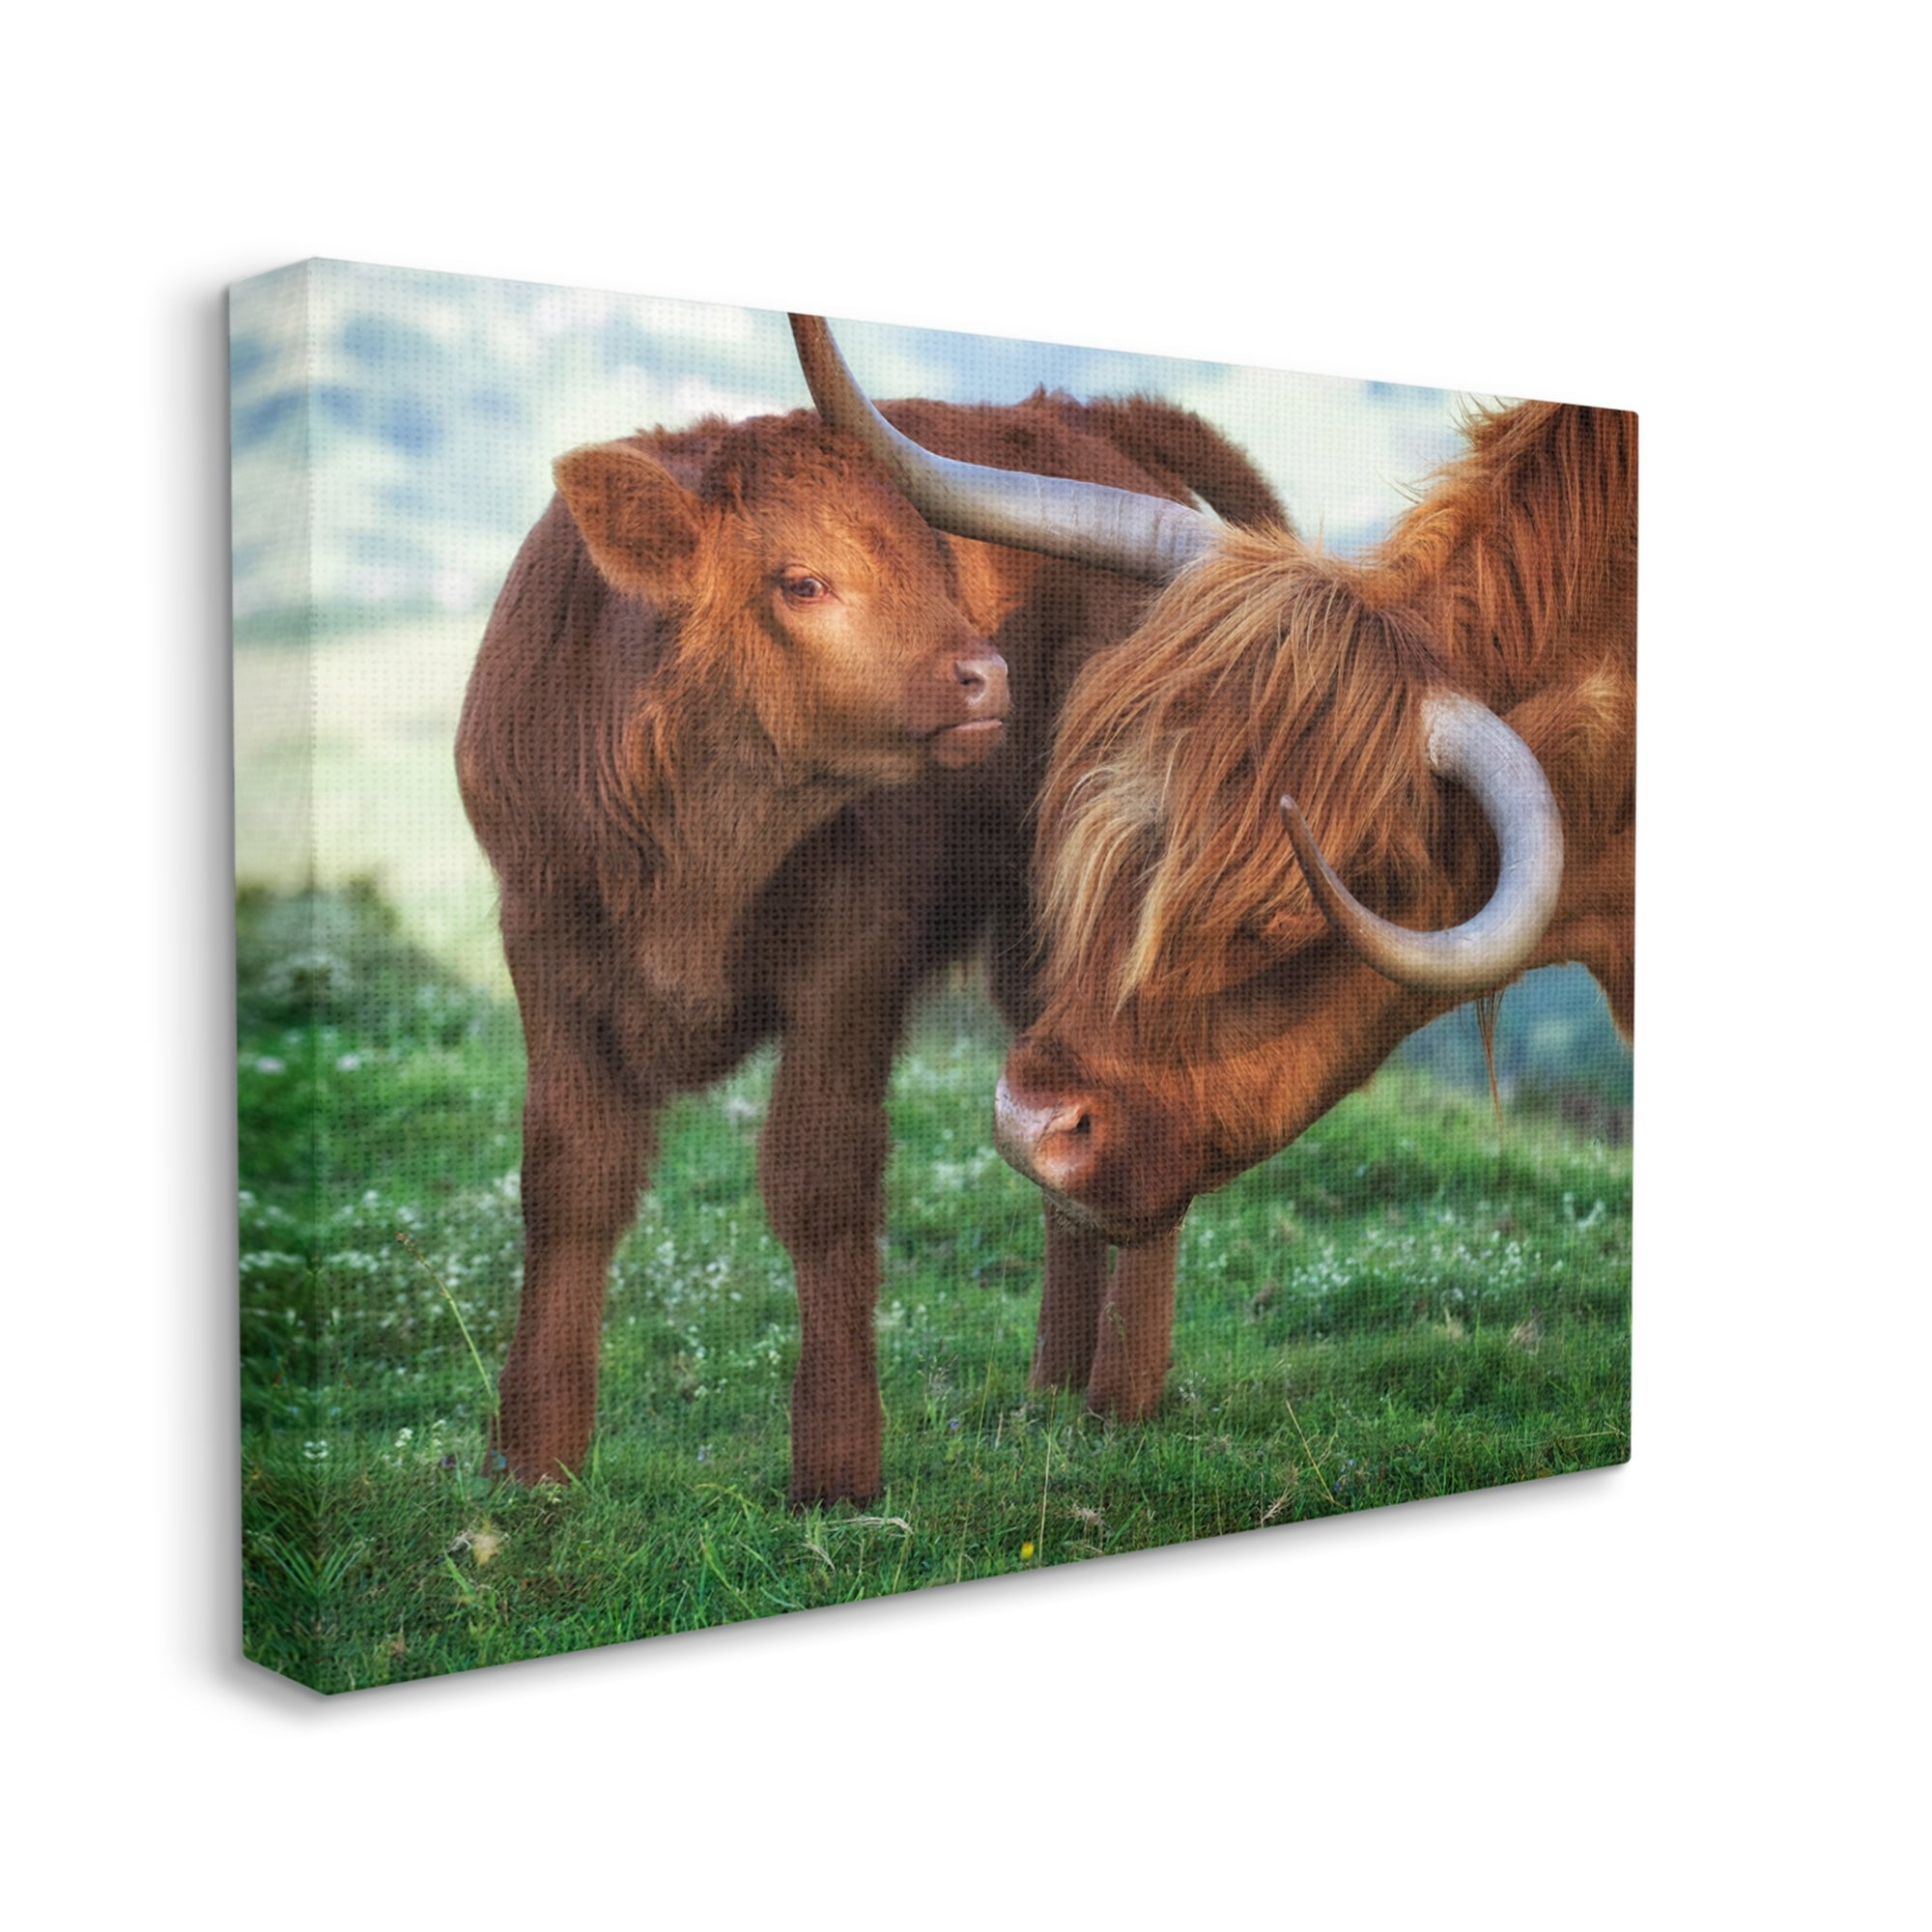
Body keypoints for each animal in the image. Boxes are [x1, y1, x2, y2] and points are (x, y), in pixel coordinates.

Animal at [456, 335, 1288, 1503]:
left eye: (940, 564)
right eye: (801, 581)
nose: (986, 674)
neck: (694, 849)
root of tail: (1097, 420)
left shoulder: (852, 958)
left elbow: (821, 1185)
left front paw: (838, 1470)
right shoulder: (541, 944)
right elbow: (569, 1182)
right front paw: (533, 1459)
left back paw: (1123, 1394)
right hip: (1030, 941)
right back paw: (1053, 1385)